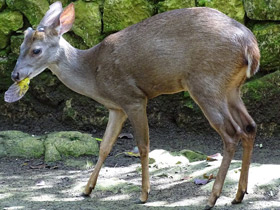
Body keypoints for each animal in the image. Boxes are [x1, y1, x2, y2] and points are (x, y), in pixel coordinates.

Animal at [9, 1, 260, 208]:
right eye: (20, 47)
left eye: (36, 50)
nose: (15, 74)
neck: (94, 74)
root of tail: (251, 46)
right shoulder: (116, 107)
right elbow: (105, 146)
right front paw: (87, 189)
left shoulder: (133, 98)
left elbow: (143, 145)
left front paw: (144, 194)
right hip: (231, 88)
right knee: (249, 126)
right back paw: (239, 194)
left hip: (206, 82)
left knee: (231, 133)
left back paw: (212, 198)